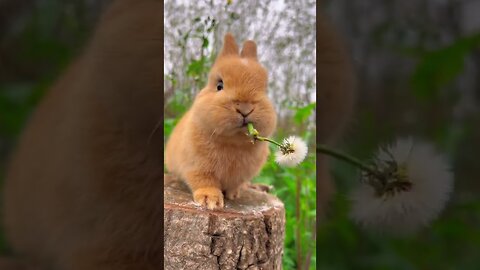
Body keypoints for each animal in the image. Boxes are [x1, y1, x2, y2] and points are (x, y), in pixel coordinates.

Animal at [165, 33, 278, 210]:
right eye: (219, 85)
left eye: (265, 90)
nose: (245, 108)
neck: (233, 142)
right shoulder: (197, 168)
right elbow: (205, 182)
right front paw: (210, 201)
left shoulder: (238, 177)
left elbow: (234, 185)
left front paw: (234, 194)